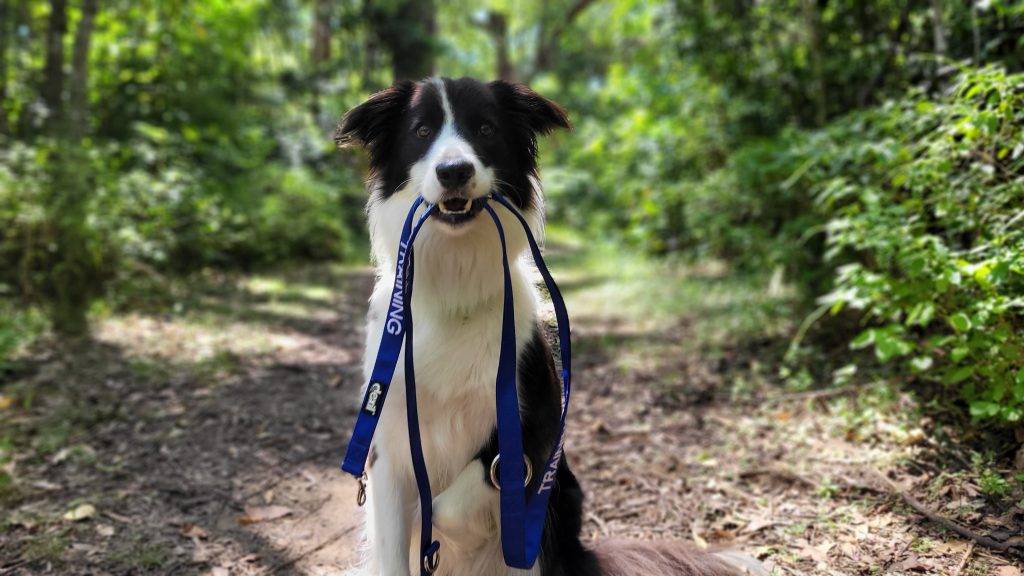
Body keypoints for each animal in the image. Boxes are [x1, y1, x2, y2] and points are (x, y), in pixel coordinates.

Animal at [335, 77, 761, 573]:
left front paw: (447, 530)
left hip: (560, 506)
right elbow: (397, 539)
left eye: (485, 129)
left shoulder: (531, 429)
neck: (453, 292)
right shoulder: (388, 446)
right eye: (422, 131)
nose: (454, 171)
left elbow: (448, 503)